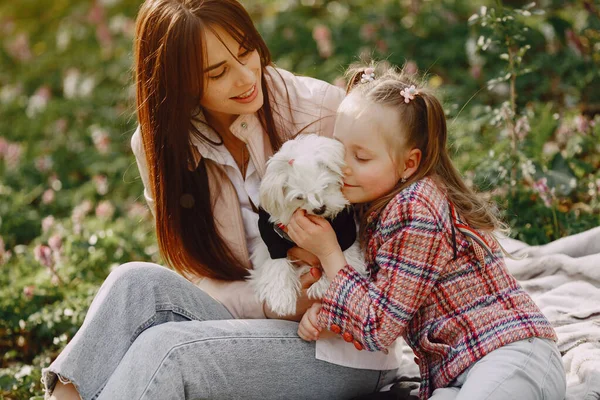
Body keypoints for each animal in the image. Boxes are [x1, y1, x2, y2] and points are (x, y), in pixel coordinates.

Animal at [247, 134, 366, 316]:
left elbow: (344, 255)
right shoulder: (271, 235)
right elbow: (276, 262)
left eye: (325, 186)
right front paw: (281, 297)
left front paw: (323, 285)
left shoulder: (345, 229)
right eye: (299, 197)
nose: (319, 209)